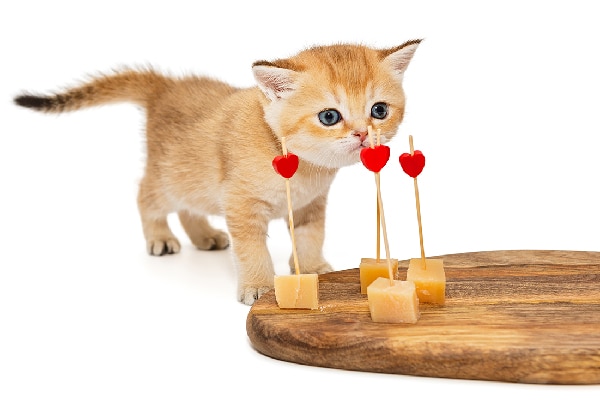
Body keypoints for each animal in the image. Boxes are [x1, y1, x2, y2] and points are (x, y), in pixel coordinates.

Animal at [11, 39, 420, 304]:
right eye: (330, 116)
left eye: (379, 110)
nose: (363, 133)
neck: (303, 169)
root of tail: (166, 86)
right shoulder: (240, 203)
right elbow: (252, 250)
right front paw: (259, 286)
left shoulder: (309, 205)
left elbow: (309, 238)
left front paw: (313, 267)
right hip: (172, 178)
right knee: (145, 196)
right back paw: (160, 237)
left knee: (189, 210)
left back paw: (205, 236)